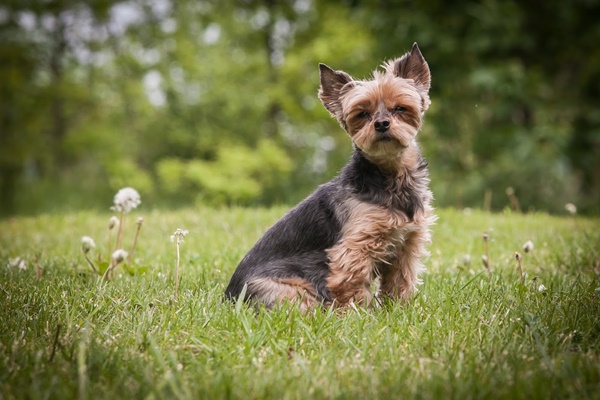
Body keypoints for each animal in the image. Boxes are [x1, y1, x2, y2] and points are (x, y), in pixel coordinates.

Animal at [225, 43, 436, 310]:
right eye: (362, 114)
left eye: (400, 108)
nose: (381, 123)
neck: (391, 175)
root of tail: (227, 298)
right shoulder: (355, 246)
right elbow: (350, 283)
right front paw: (355, 313)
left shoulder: (408, 243)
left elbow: (401, 281)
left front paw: (398, 309)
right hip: (288, 290)